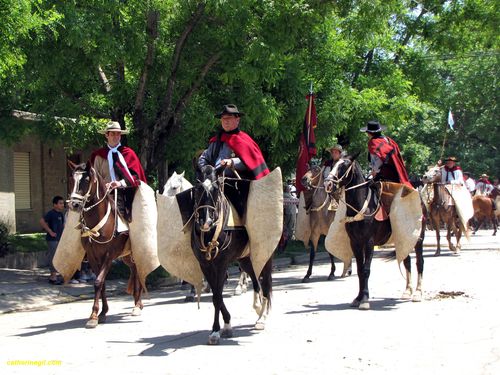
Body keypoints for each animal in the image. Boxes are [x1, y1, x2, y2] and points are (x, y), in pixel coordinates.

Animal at [68, 163, 145, 328]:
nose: (74, 204)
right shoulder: (92, 256)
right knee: (135, 271)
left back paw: (137, 306)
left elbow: (98, 282)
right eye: (72, 179)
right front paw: (101, 313)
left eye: (86, 180)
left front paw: (93, 316)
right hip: (127, 256)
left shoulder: (108, 256)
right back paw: (137, 303)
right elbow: (101, 283)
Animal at [190, 166, 272, 346]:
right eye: (198, 188)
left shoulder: (221, 264)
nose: (206, 221)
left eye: (215, 189)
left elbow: (217, 297)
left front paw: (216, 331)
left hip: (264, 256)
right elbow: (217, 295)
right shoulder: (205, 265)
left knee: (266, 284)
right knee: (256, 280)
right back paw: (257, 307)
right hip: (245, 259)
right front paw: (226, 325)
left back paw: (262, 318)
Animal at [328, 156, 426, 312]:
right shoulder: (355, 243)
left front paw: (364, 300)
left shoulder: (369, 242)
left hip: (418, 239)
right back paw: (407, 291)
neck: (361, 207)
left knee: (420, 262)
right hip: (402, 237)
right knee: (407, 261)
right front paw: (358, 298)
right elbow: (360, 270)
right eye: (333, 164)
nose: (328, 184)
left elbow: (366, 270)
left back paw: (417, 292)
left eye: (344, 166)